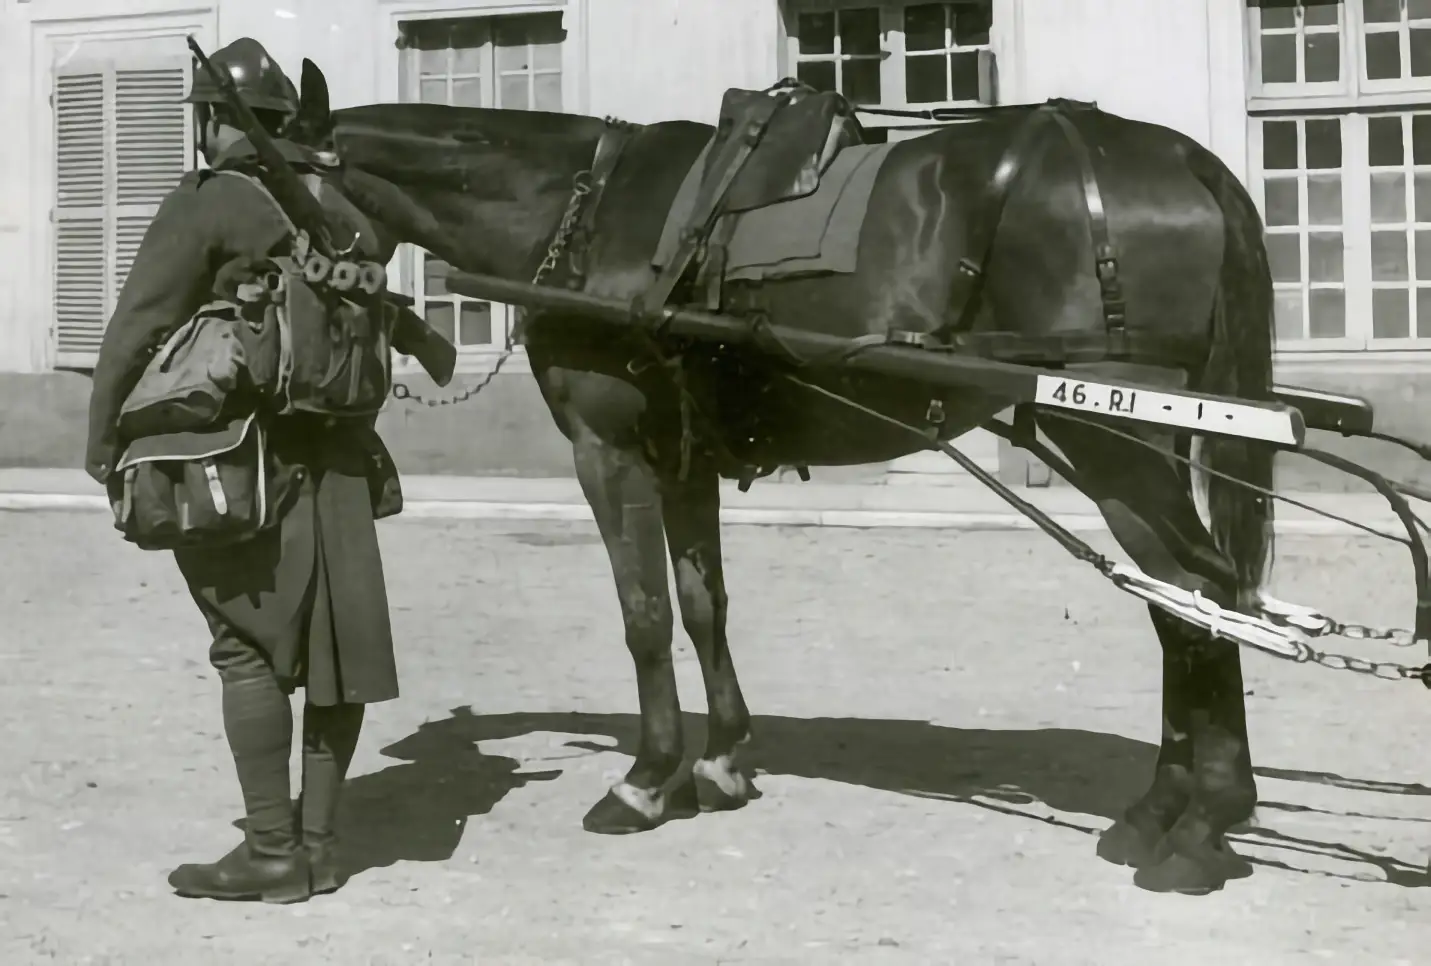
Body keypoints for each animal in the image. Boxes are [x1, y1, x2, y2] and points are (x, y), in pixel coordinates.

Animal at [281, 58, 1276, 898]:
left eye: (267, 183)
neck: (585, 211)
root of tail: (1182, 157)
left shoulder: (608, 452)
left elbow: (644, 617)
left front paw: (647, 778)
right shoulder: (683, 460)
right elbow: (701, 605)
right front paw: (720, 758)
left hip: (1110, 435)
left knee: (1202, 596)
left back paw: (1202, 823)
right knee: (1182, 603)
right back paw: (1162, 810)